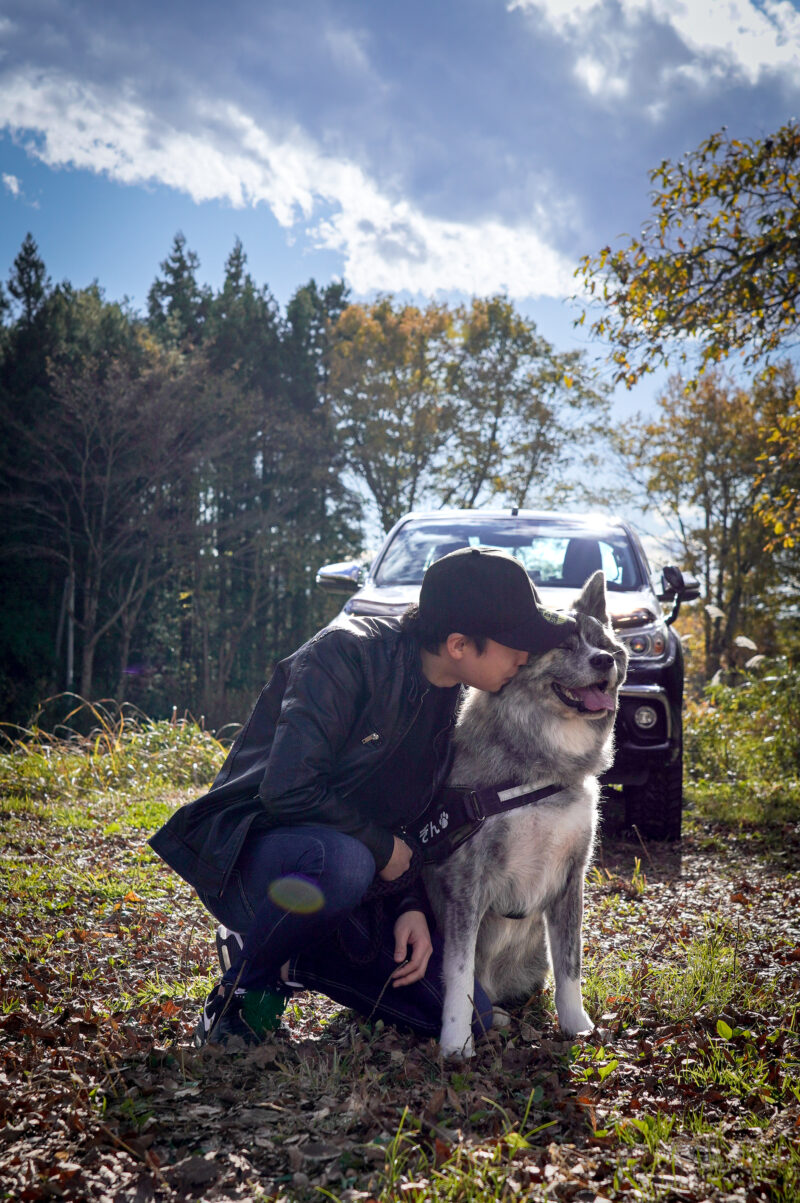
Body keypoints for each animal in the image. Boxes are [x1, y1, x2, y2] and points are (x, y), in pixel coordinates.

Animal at [423, 567, 630, 1058]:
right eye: (565, 645)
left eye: (604, 644)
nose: (605, 662)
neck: (541, 769)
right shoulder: (466, 881)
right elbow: (459, 971)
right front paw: (456, 1041)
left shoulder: (572, 878)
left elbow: (571, 963)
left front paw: (577, 1026)